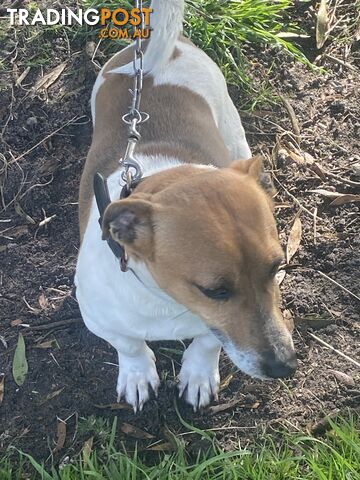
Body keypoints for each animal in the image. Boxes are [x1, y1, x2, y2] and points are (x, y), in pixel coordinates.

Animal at [74, 0, 296, 412]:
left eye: (278, 267)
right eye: (215, 291)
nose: (284, 366)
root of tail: (156, 58)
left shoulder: (213, 330)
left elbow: (208, 341)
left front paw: (197, 373)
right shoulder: (99, 319)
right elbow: (128, 344)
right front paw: (137, 373)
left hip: (231, 127)